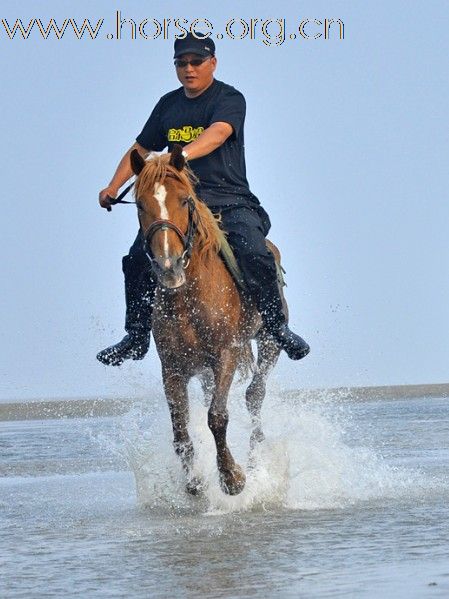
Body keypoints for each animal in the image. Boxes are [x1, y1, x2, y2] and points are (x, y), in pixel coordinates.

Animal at [130, 144, 284, 496]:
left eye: (185, 200)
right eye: (141, 205)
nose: (169, 266)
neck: (189, 299)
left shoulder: (226, 355)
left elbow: (217, 417)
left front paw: (233, 479)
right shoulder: (173, 368)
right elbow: (180, 429)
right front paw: (194, 482)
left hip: (269, 341)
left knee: (255, 396)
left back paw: (254, 463)